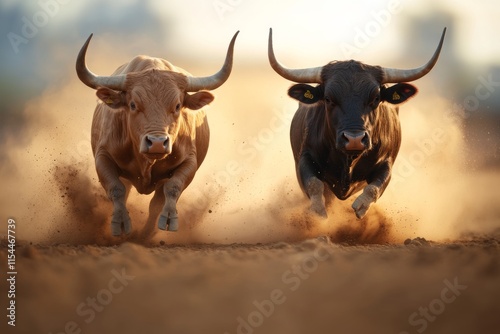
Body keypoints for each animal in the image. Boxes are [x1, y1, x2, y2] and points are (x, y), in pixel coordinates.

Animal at [75, 30, 238, 235]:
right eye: (133, 104)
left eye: (177, 105)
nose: (158, 143)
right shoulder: (102, 157)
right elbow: (116, 189)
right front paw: (120, 223)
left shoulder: (189, 162)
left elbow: (170, 190)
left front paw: (167, 220)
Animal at [268, 26, 448, 219]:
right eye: (328, 99)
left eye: (375, 98)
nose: (354, 139)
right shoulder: (304, 159)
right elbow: (314, 185)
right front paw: (319, 213)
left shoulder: (386, 165)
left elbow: (373, 189)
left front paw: (360, 207)